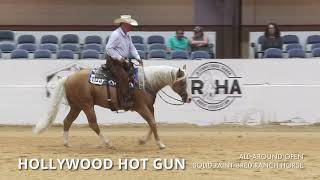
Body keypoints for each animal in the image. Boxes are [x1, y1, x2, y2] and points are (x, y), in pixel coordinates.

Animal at [33, 64, 191, 149]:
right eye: (183, 82)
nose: (188, 98)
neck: (145, 82)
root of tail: (68, 77)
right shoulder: (141, 107)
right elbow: (152, 122)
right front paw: (160, 144)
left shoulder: (149, 107)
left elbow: (152, 124)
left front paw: (142, 141)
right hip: (87, 105)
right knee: (93, 124)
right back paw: (108, 143)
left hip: (76, 106)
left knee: (67, 121)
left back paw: (66, 143)